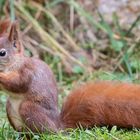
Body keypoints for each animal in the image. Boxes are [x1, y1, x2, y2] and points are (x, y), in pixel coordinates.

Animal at [0, 21, 140, 133]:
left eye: (2, 52)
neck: (14, 63)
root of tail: (58, 126)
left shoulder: (27, 72)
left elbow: (18, 83)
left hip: (29, 109)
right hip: (10, 109)